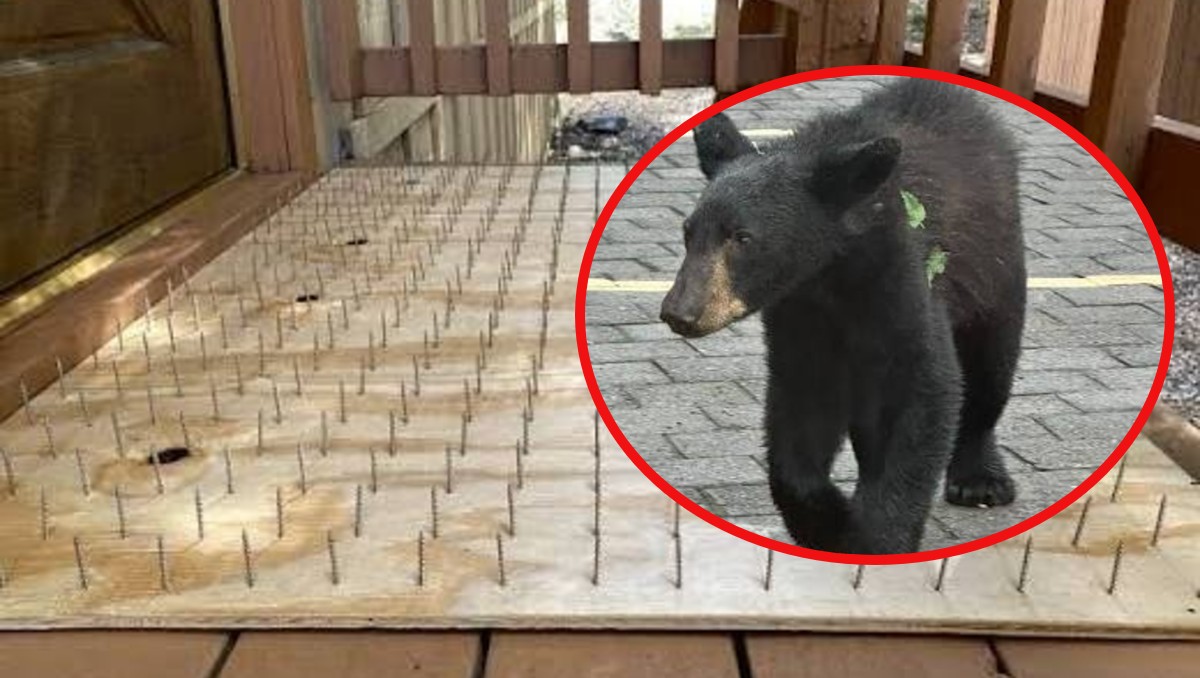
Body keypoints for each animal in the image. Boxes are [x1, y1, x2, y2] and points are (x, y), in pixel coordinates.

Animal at [659, 78, 1026, 555]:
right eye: (689, 233)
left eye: (742, 237)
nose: (680, 312)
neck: (831, 272)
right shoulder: (799, 313)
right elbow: (800, 408)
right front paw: (828, 519)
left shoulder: (901, 278)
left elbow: (922, 389)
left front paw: (879, 538)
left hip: (996, 267)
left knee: (990, 367)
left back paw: (979, 479)